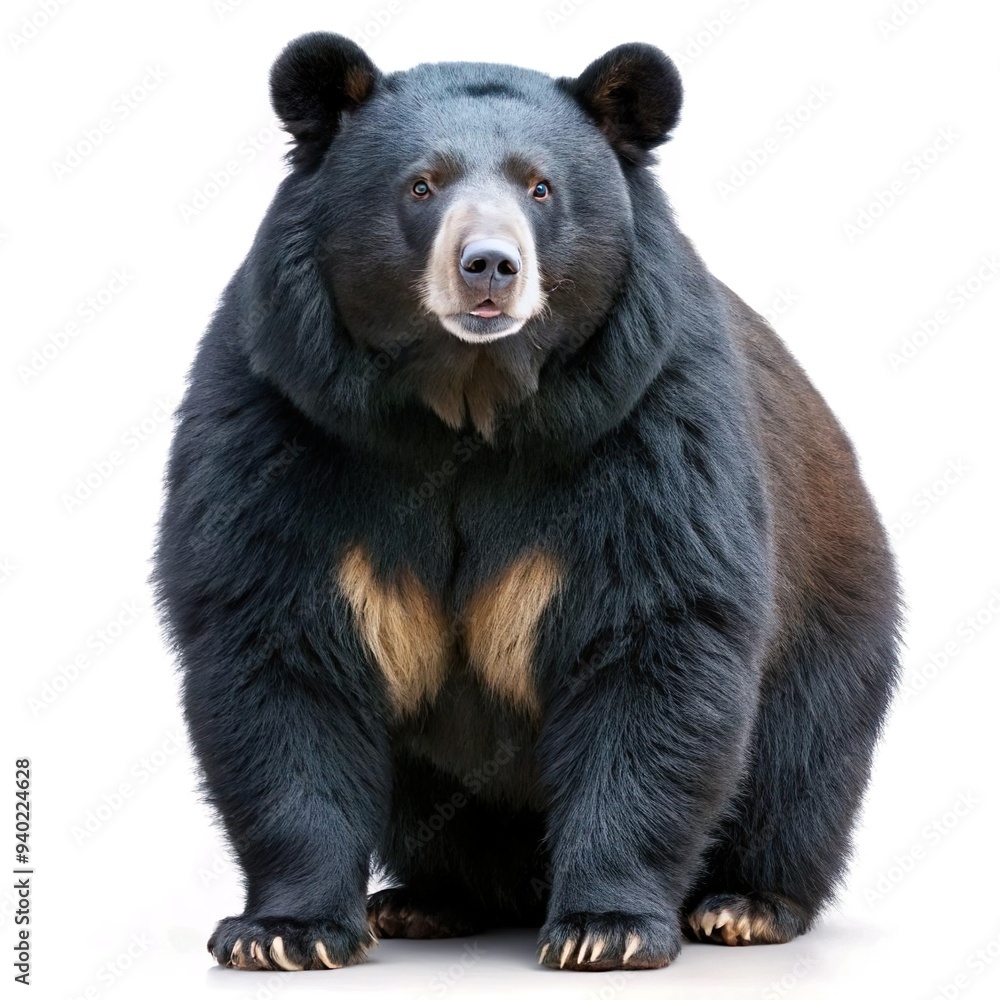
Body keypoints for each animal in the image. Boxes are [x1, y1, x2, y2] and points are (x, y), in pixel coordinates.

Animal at [153, 32, 901, 973]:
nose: (490, 267)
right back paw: (426, 900)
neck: (468, 403)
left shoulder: (648, 424)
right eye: (422, 185)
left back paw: (744, 904)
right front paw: (282, 932)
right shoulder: (285, 420)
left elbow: (651, 639)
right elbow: (280, 646)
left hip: (832, 622)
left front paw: (607, 927)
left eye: (540, 187)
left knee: (800, 766)